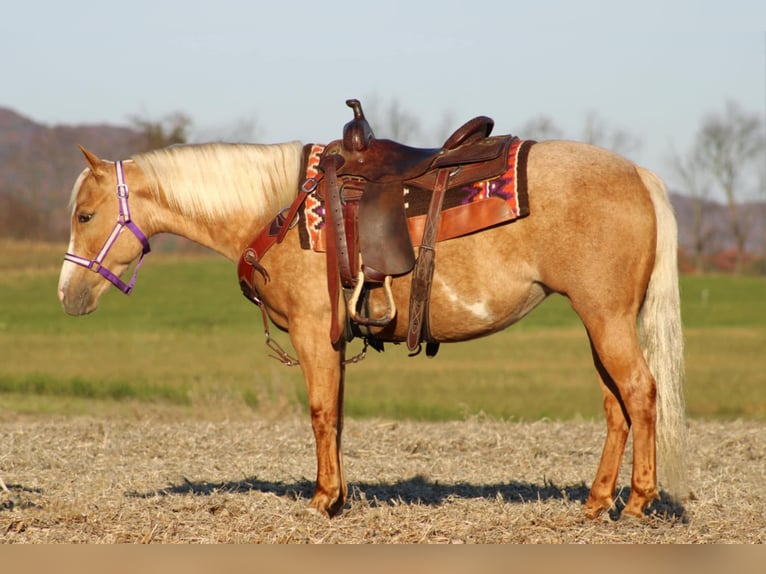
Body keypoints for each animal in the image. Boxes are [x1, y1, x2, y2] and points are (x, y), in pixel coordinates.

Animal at [57, 136, 688, 520]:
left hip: (606, 319)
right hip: (600, 322)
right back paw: (596, 503)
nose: (67, 295)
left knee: (640, 393)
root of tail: (639, 174)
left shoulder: (314, 332)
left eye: (86, 215)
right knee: (615, 406)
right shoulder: (333, 340)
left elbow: (319, 412)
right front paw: (338, 497)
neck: (280, 209)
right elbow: (336, 417)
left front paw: (321, 500)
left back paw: (637, 503)